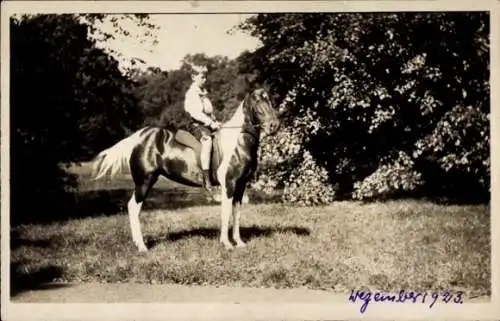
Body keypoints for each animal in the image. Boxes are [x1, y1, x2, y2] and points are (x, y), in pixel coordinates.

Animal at [91, 87, 280, 250]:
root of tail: (141, 136)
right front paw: (226, 243)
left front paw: (239, 242)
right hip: (144, 182)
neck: (237, 141)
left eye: (269, 100)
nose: (274, 126)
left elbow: (237, 212)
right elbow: (226, 212)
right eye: (257, 101)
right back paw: (142, 246)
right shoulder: (229, 184)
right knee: (133, 207)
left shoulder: (241, 185)